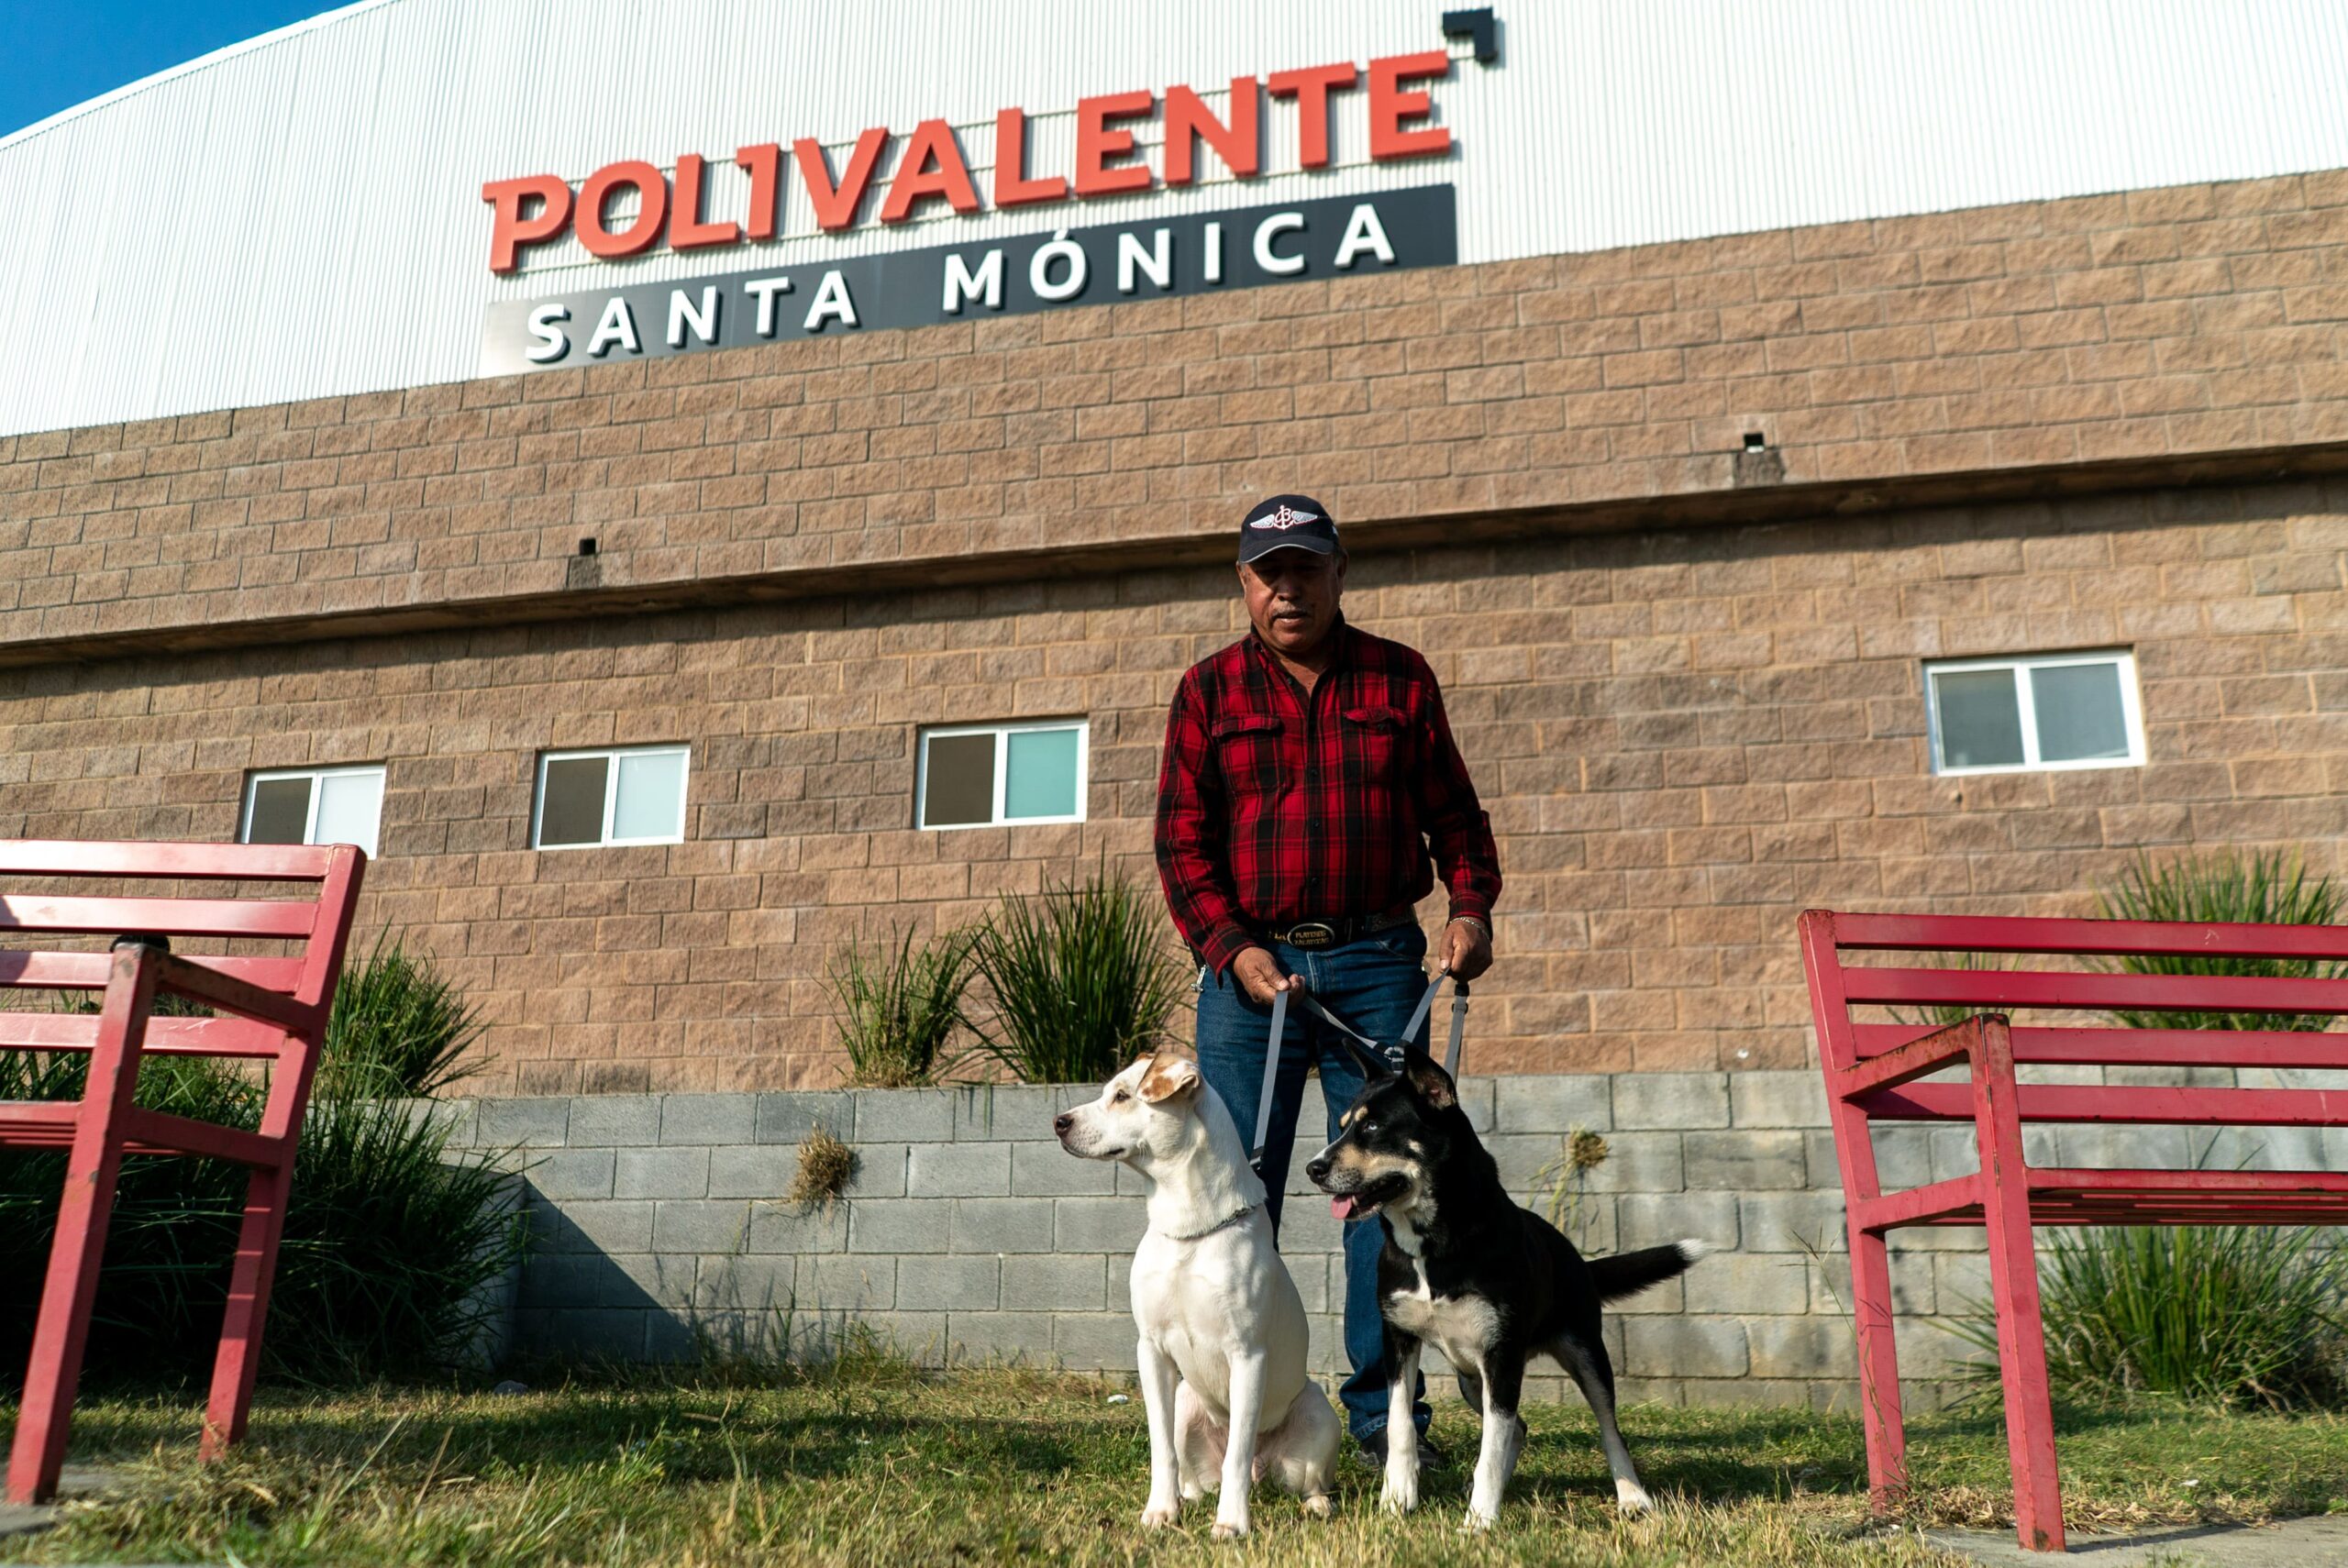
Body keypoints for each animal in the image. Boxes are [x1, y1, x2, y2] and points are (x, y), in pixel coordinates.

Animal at [1051, 1046, 1334, 1540]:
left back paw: (1316, 1505)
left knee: (1302, 1479)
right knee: (1197, 1474)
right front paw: (1160, 1512)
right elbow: (1160, 1447)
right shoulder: (1151, 1350)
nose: (1059, 1122)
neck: (1188, 1229)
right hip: (1187, 1402)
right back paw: (1188, 1497)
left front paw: (1231, 1524)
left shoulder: (1247, 1356)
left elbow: (1238, 1451)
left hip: (1319, 1413)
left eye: (1122, 1096)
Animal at [1305, 1042, 1709, 1530]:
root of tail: (1575, 1257)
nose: (1312, 1168)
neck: (1433, 1245)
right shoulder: (1398, 1339)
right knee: (1519, 1427)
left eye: (1372, 1127)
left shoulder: (1500, 1355)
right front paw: (1396, 1502)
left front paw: (1479, 1521)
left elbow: (1491, 1449)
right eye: (1344, 1125)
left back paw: (1632, 1497)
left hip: (1583, 1353)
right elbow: (1402, 1426)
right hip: (1470, 1377)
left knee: (1608, 1429)